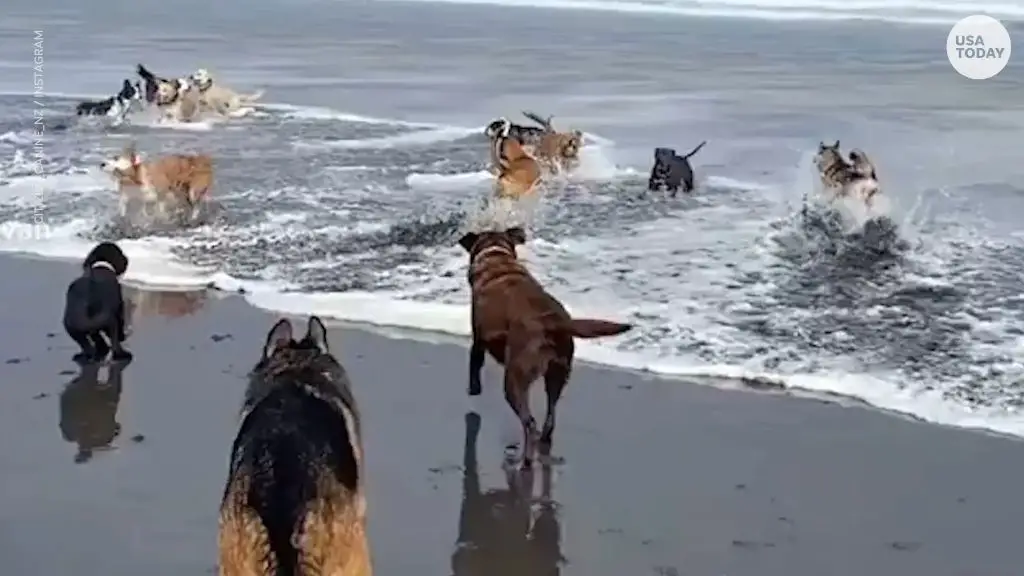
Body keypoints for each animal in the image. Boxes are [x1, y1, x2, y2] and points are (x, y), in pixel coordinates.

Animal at [458, 226, 630, 463]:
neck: (497, 257)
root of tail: (552, 321)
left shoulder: (478, 338)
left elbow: (474, 364)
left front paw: (473, 389)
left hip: (515, 378)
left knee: (529, 422)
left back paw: (524, 459)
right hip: (558, 373)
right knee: (550, 418)